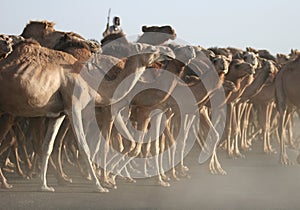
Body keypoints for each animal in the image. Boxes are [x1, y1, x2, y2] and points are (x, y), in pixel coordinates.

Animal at [0, 38, 176, 192]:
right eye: (151, 49)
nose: (170, 52)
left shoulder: (58, 114)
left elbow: (47, 146)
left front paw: (44, 186)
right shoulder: (74, 106)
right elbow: (85, 147)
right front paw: (100, 186)